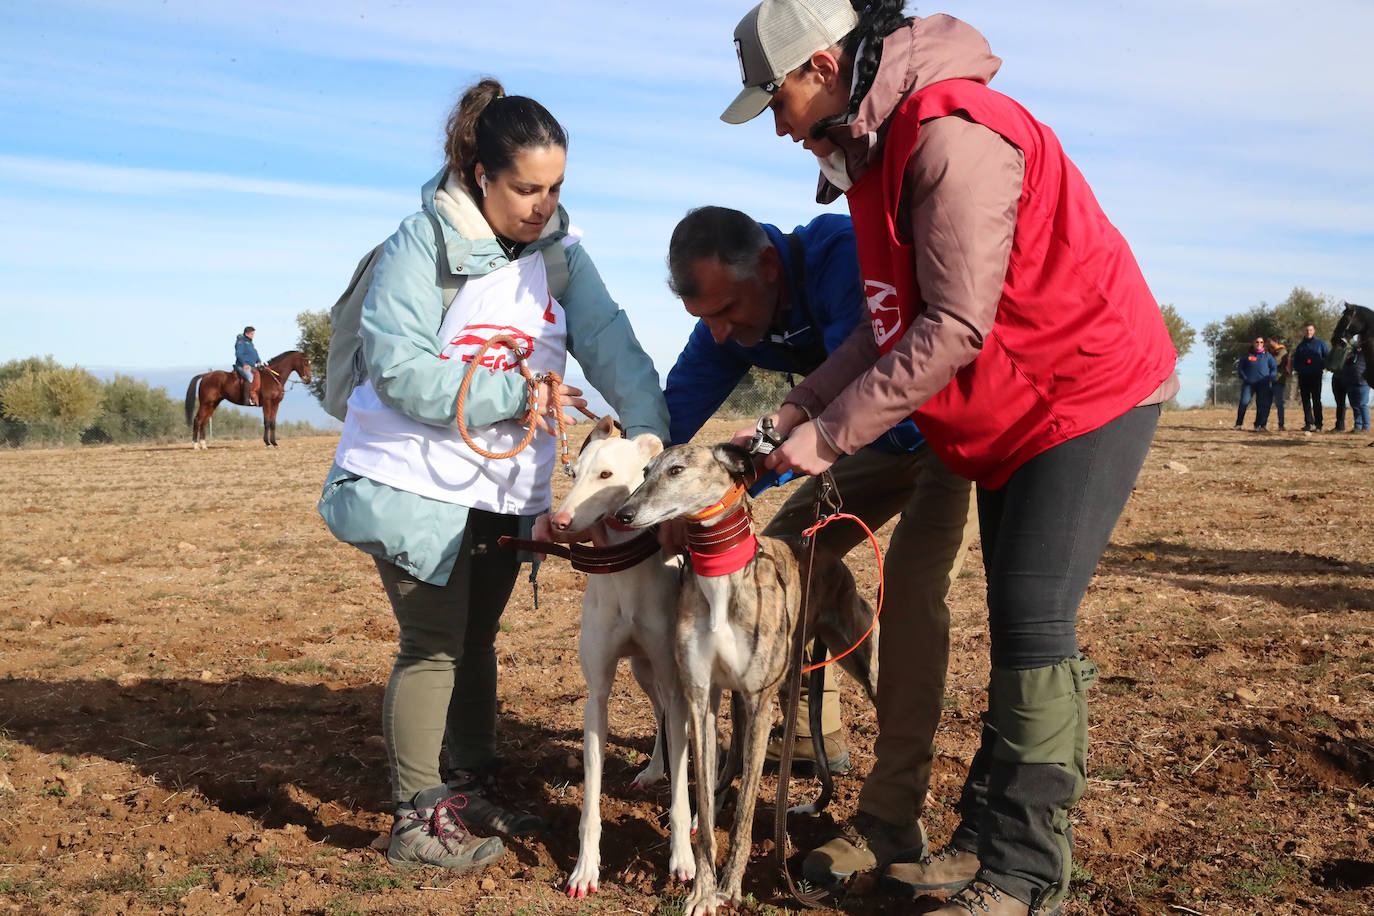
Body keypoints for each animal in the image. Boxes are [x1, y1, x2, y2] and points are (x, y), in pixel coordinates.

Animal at [181, 348, 310, 450]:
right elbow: (267, 422)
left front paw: (274, 443)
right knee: (197, 420)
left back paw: (203, 445)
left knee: (204, 422)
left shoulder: (275, 404)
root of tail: (206, 375)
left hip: (212, 404)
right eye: (305, 363)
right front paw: (267, 443)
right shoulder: (267, 403)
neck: (273, 378)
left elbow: (272, 423)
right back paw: (196, 445)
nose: (308, 380)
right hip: (205, 403)